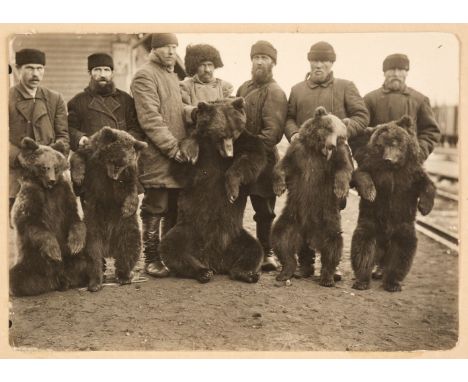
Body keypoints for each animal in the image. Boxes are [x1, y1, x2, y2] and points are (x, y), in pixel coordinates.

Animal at [9, 137, 88, 296]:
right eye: (44, 167)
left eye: (55, 167)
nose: (52, 180)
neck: (48, 189)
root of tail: (57, 278)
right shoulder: (32, 194)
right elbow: (31, 222)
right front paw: (55, 252)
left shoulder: (63, 195)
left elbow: (74, 218)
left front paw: (75, 244)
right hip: (30, 261)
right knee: (18, 278)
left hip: (72, 261)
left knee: (86, 265)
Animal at [70, 127, 147, 290]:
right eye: (114, 160)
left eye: (123, 164)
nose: (114, 176)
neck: (103, 166)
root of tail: (109, 247)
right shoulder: (90, 155)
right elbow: (77, 157)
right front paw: (78, 177)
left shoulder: (128, 175)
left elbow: (131, 190)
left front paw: (127, 209)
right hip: (93, 228)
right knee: (93, 255)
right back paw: (95, 282)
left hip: (126, 227)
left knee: (130, 248)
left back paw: (124, 276)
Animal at [272, 106, 352, 286]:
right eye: (328, 128)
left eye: (340, 135)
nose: (331, 145)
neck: (317, 151)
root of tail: (309, 234)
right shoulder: (298, 152)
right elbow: (283, 165)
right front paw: (279, 187)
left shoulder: (336, 157)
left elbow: (343, 168)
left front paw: (340, 190)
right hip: (291, 218)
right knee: (281, 239)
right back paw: (285, 272)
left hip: (328, 220)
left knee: (333, 245)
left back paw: (328, 277)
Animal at [352, 115, 436, 290]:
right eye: (381, 145)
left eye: (396, 143)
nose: (388, 159)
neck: (394, 170)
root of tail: (384, 248)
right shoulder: (374, 169)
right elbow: (361, 174)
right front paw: (371, 193)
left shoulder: (411, 175)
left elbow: (427, 183)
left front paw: (424, 207)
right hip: (370, 225)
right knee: (363, 249)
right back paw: (362, 280)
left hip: (403, 229)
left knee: (402, 253)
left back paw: (392, 282)